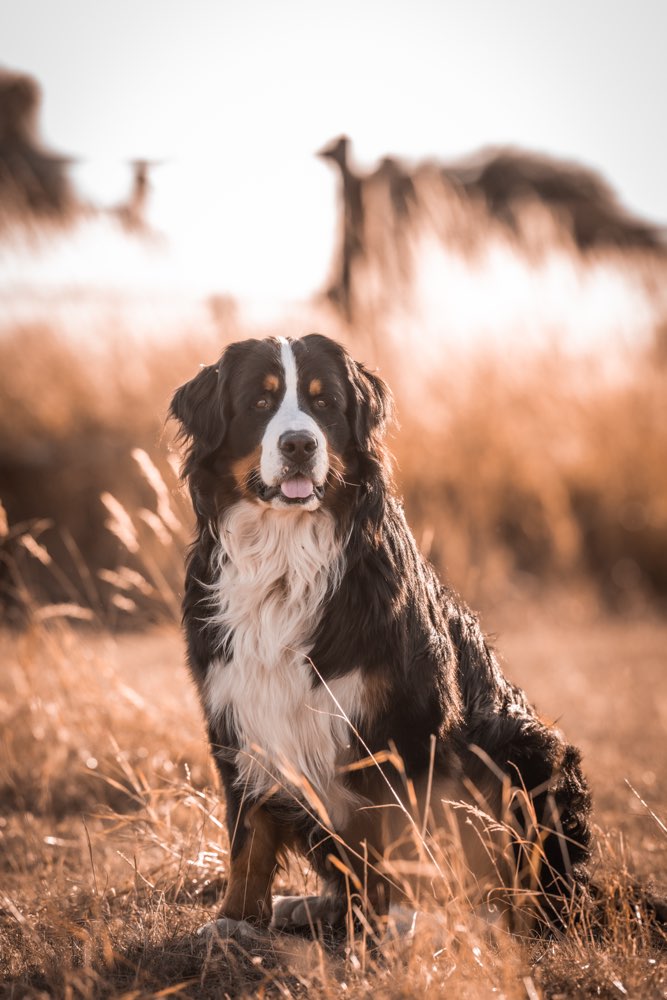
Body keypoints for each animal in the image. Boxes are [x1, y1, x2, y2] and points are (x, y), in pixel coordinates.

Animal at [170, 334, 592, 936]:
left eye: (324, 403)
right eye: (260, 402)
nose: (299, 444)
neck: (285, 560)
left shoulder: (408, 725)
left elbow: (408, 828)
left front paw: (406, 918)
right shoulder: (238, 709)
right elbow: (246, 833)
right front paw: (235, 919)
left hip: (528, 748)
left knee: (536, 895)